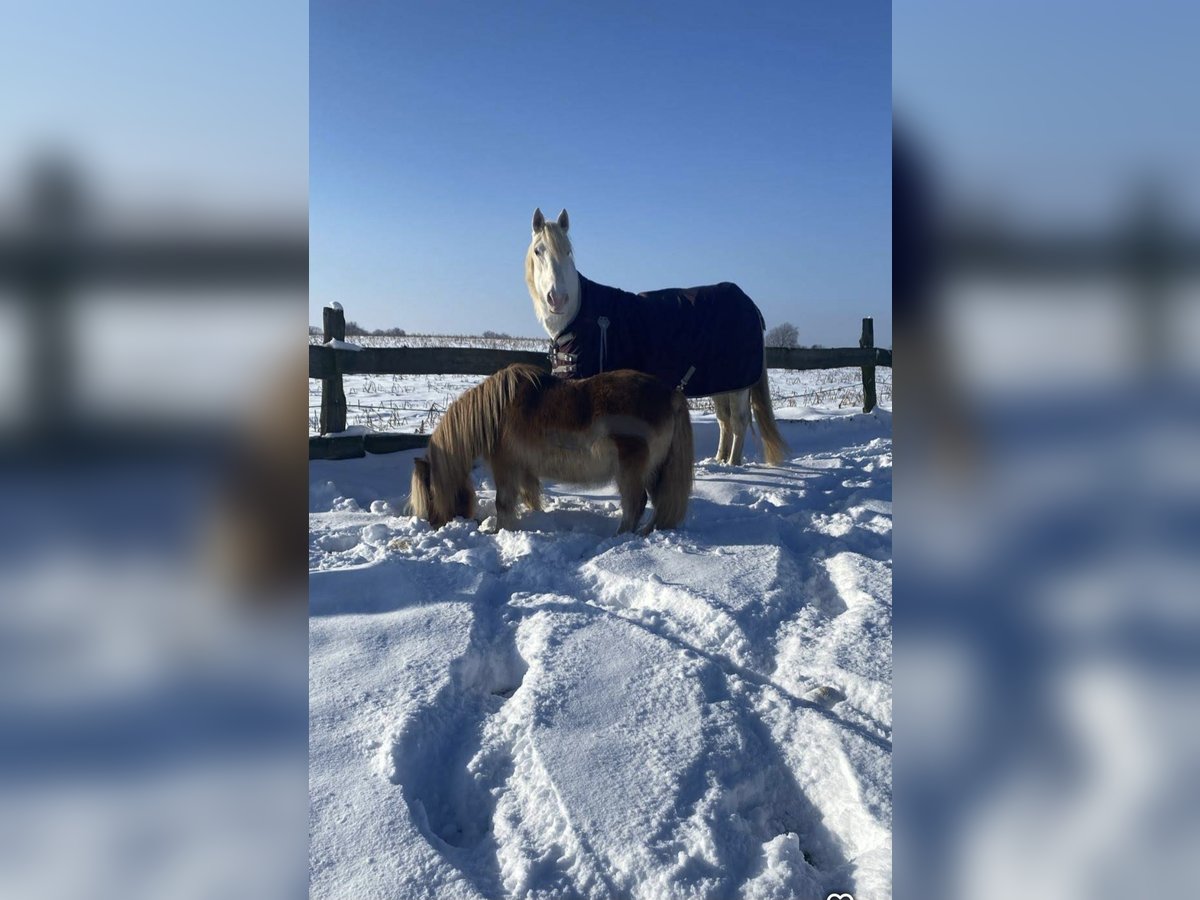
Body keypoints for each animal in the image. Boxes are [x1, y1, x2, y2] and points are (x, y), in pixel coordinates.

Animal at [408, 364, 696, 535]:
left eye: (430, 494)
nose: (433, 524)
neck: (494, 414)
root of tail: (671, 394)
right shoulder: (524, 468)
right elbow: (531, 496)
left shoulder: (505, 467)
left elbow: (503, 503)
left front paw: (499, 532)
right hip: (655, 470)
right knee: (658, 503)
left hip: (631, 471)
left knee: (636, 503)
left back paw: (619, 539)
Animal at [525, 208, 787, 468]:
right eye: (538, 250)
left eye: (568, 251)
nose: (558, 299)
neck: (583, 316)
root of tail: (749, 303)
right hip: (722, 383)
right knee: (725, 420)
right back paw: (719, 460)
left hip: (739, 386)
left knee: (739, 421)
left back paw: (732, 465)